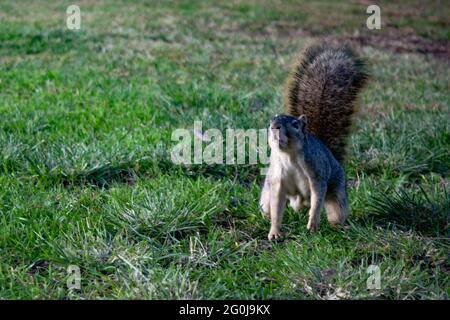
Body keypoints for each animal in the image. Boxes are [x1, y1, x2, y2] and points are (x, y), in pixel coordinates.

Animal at [258, 42, 368, 240]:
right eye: (271, 121)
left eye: (295, 125)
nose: (275, 127)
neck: (289, 156)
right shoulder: (277, 181)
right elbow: (277, 208)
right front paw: (275, 232)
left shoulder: (317, 174)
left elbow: (317, 200)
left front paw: (313, 225)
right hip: (267, 193)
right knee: (270, 207)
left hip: (337, 193)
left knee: (334, 211)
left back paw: (338, 227)